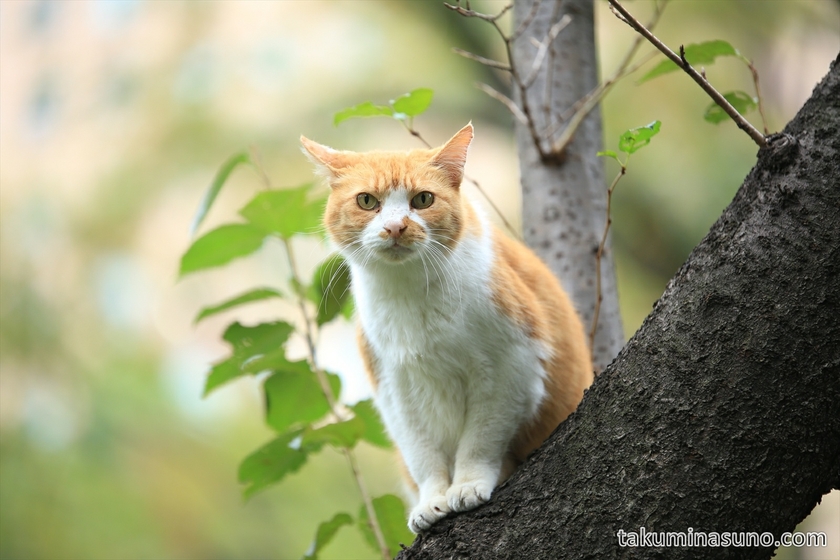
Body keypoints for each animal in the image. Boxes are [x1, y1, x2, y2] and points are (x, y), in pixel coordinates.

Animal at [300, 123, 592, 532]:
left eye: (423, 200)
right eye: (367, 201)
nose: (396, 227)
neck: (411, 294)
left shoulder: (512, 365)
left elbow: (482, 437)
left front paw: (468, 484)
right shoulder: (394, 389)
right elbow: (422, 453)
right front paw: (432, 500)